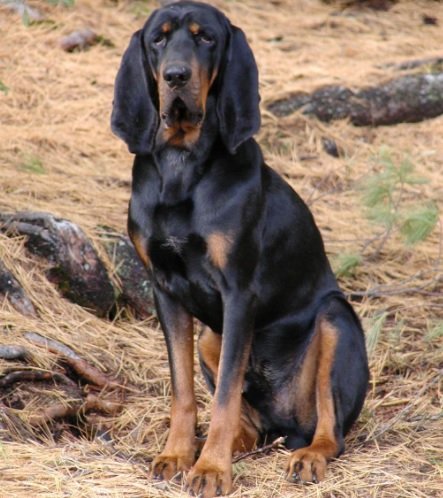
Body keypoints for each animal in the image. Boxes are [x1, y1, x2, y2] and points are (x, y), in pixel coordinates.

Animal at [112, 1, 372, 496]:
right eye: (158, 38)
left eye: (206, 38)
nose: (175, 76)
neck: (182, 163)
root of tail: (286, 422)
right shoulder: (165, 290)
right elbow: (184, 390)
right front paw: (178, 455)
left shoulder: (238, 293)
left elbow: (225, 396)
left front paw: (211, 471)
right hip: (211, 337)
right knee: (249, 427)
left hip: (335, 319)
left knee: (330, 431)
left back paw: (307, 456)